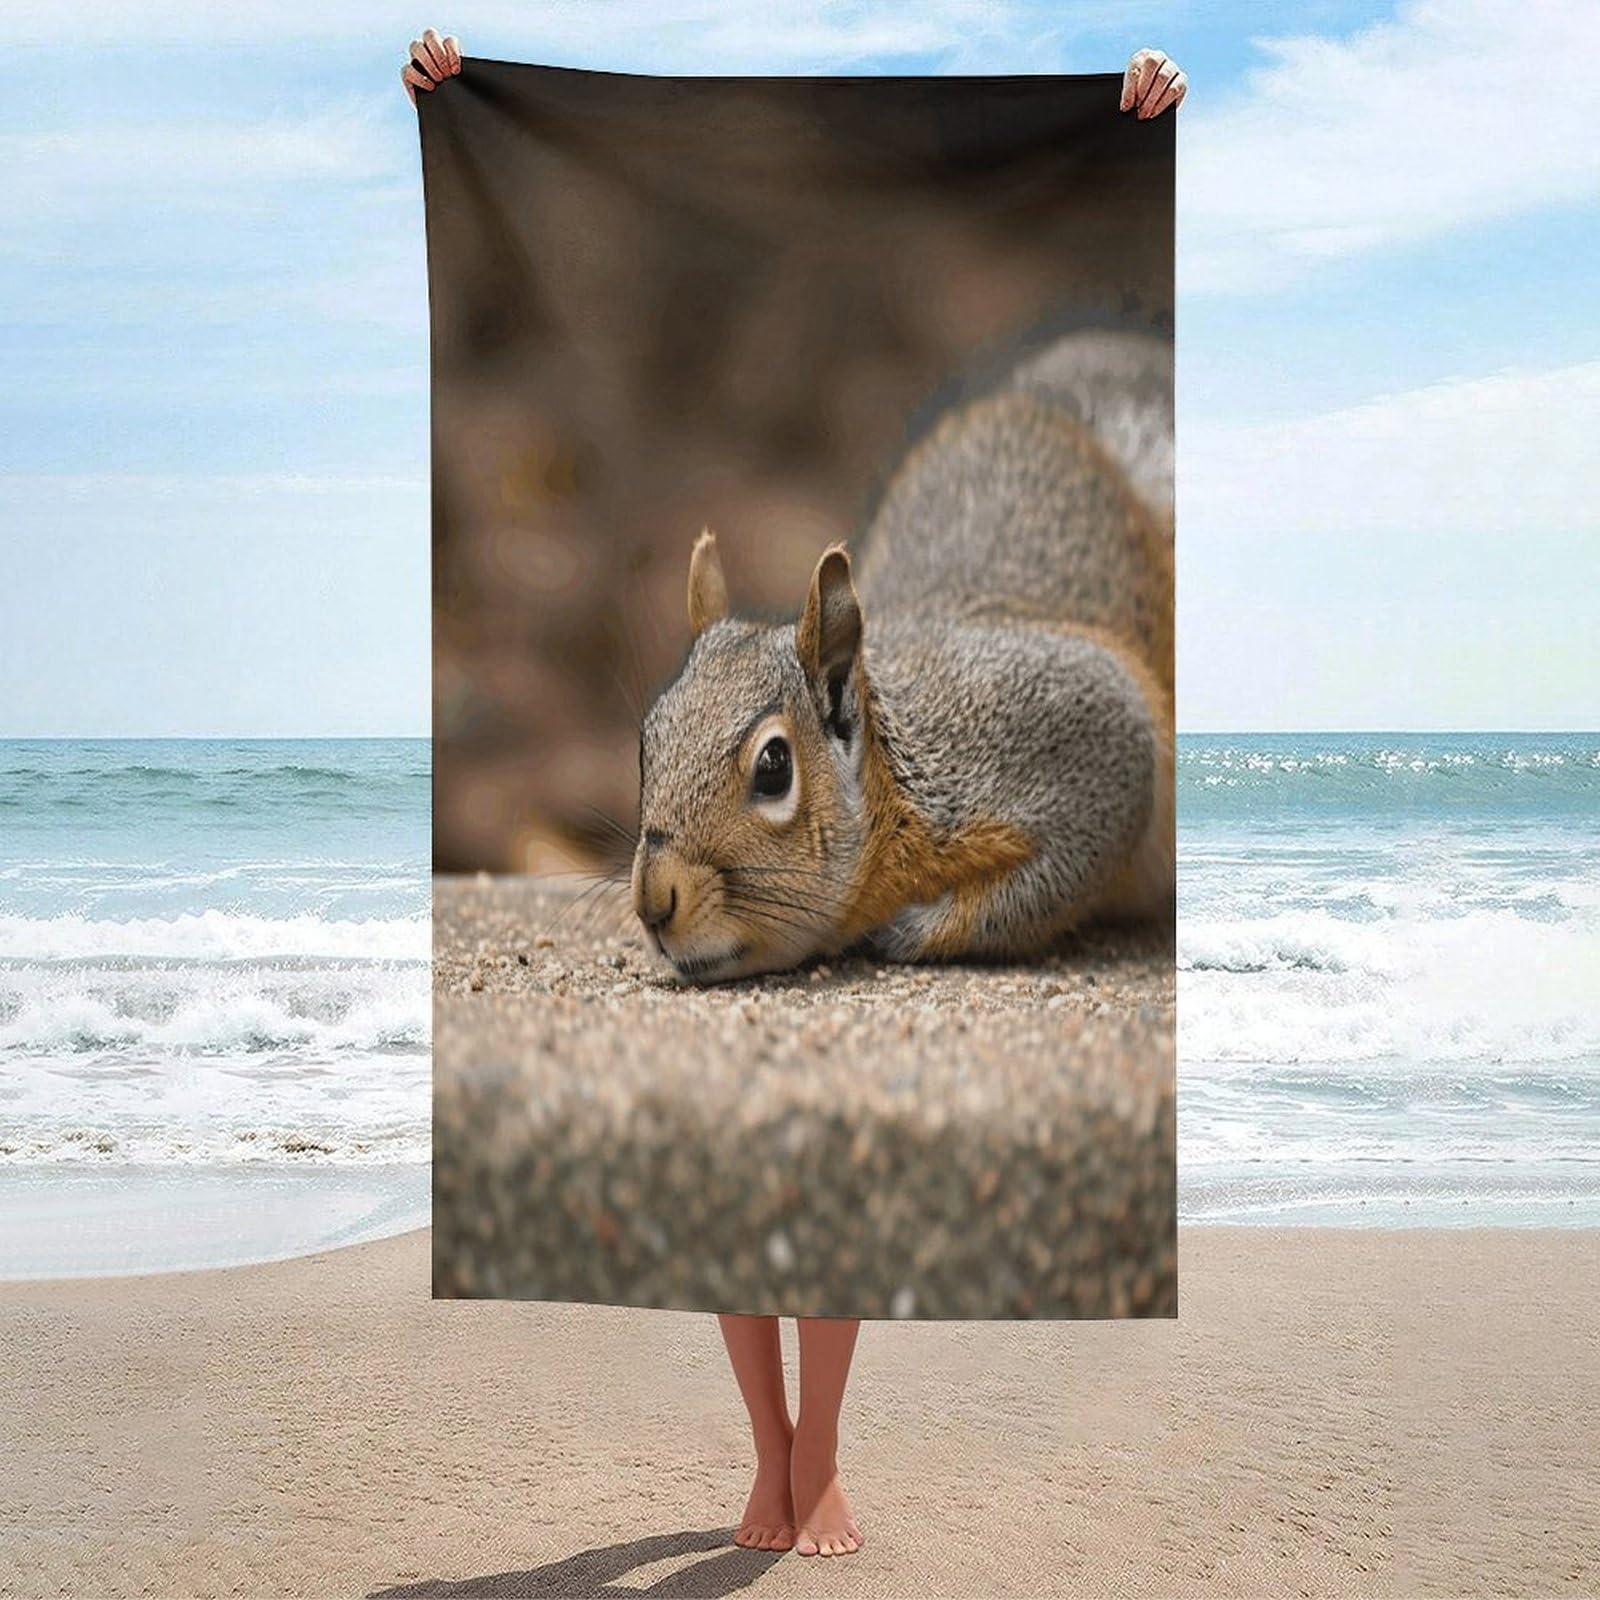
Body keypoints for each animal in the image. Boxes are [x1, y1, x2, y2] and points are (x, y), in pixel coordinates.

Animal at [631, 328, 1174, 983]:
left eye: (774, 768)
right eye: (646, 743)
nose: (652, 901)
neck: (897, 788)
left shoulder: (1077, 724)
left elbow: (1054, 880)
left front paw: (911, 928)